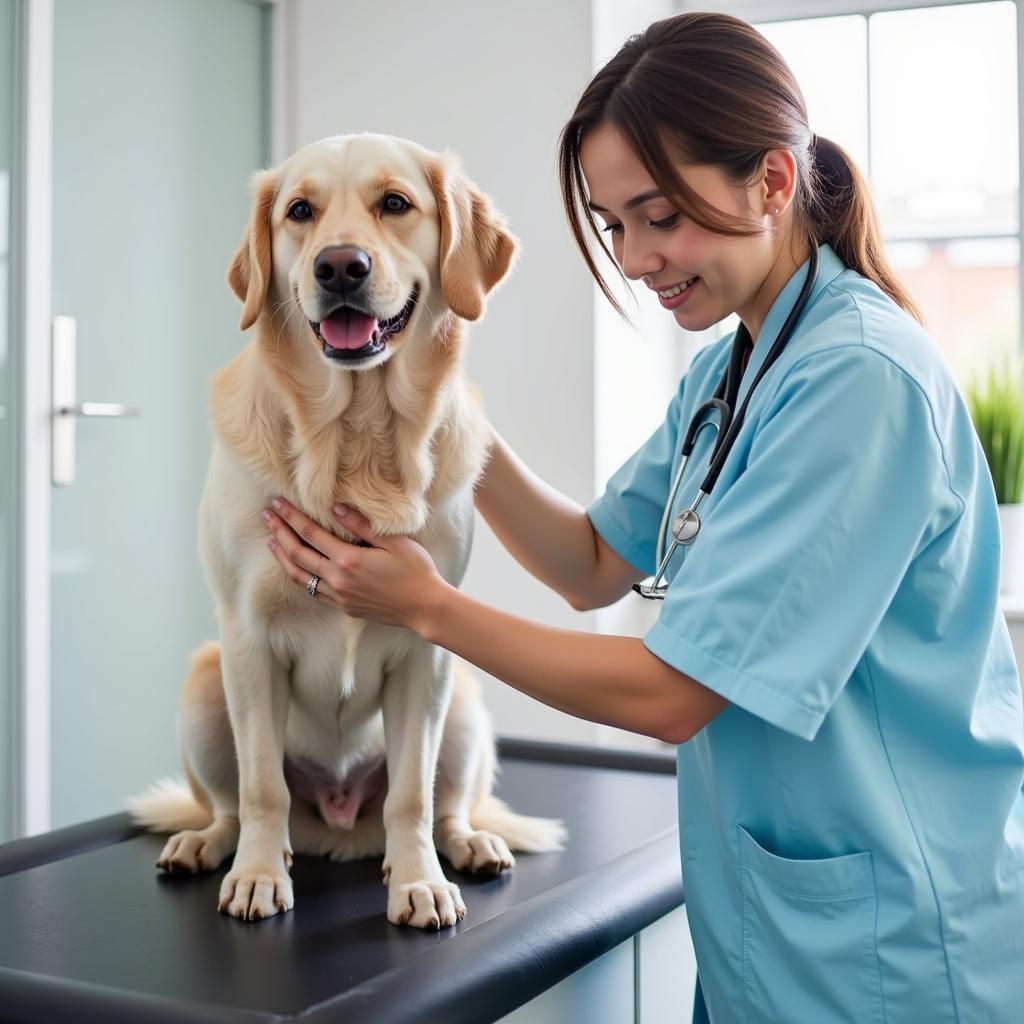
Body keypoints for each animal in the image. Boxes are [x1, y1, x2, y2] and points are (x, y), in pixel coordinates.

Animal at [125, 134, 569, 929]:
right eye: (300, 211)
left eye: (395, 203)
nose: (339, 267)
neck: (355, 438)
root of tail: (335, 826)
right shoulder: (246, 637)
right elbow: (262, 785)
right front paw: (258, 877)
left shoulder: (428, 647)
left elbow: (411, 796)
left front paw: (418, 883)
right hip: (205, 686)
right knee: (231, 806)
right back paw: (209, 846)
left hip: (463, 705)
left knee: (445, 806)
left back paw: (468, 845)